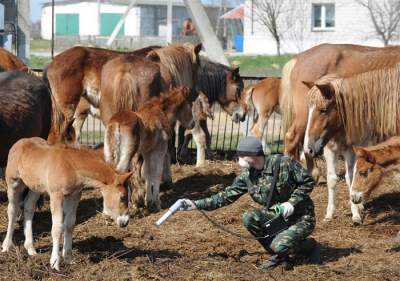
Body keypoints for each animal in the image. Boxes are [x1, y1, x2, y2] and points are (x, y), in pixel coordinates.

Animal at [2, 137, 131, 270]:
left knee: (29, 207)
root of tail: (21, 141)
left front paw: (68, 258)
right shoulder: (56, 195)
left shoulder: (74, 195)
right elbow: (57, 228)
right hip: (13, 182)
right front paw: (55, 262)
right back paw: (6, 246)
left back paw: (30, 248)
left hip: (36, 188)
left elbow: (69, 224)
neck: (72, 167)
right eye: (122, 197)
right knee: (12, 210)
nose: (125, 221)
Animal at [304, 64, 400, 223]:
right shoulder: (329, 150)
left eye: (323, 110)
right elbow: (332, 179)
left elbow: (350, 178)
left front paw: (355, 215)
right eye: (308, 111)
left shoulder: (350, 150)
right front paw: (329, 214)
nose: (308, 149)